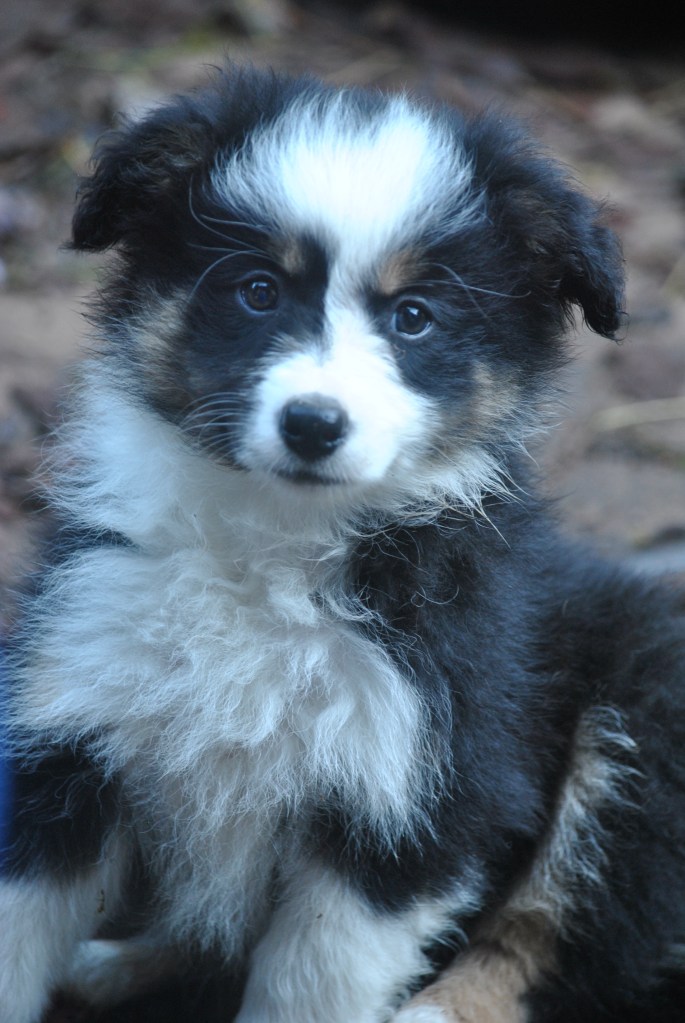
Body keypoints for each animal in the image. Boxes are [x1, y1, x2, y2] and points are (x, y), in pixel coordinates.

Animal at [1, 65, 684, 1023]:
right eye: (258, 290)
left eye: (414, 317)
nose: (313, 425)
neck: (273, 543)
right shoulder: (70, 727)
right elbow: (16, 929)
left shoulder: (418, 797)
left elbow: (307, 983)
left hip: (642, 711)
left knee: (549, 929)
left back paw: (435, 1010)